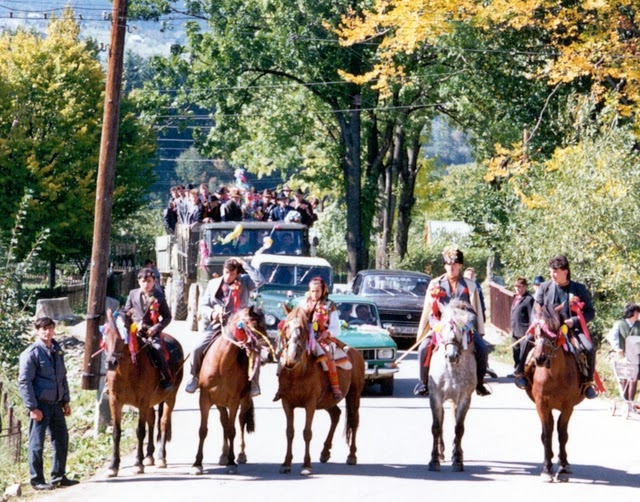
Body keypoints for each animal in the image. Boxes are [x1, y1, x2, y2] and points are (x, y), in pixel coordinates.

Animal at [101, 308, 184, 476]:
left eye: (124, 334)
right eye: (106, 332)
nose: (111, 362)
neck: (126, 372)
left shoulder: (143, 402)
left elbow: (140, 431)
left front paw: (138, 463)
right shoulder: (115, 401)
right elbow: (116, 432)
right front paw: (113, 465)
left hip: (170, 396)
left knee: (163, 422)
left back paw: (160, 457)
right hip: (152, 402)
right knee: (152, 421)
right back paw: (150, 455)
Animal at [191, 306, 268, 474]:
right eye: (253, 326)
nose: (267, 354)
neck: (221, 362)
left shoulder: (234, 401)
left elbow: (232, 431)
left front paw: (232, 463)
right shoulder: (204, 399)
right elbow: (203, 430)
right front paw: (197, 463)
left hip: (244, 401)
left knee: (240, 422)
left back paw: (240, 455)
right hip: (220, 403)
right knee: (224, 423)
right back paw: (223, 455)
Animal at [276, 306, 364, 474]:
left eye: (304, 330)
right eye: (285, 327)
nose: (291, 358)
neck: (297, 374)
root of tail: (356, 353)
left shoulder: (310, 404)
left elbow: (307, 432)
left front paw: (306, 465)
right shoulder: (287, 403)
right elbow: (289, 432)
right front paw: (286, 463)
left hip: (354, 395)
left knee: (354, 421)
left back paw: (352, 456)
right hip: (327, 401)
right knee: (336, 414)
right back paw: (325, 452)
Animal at [524, 306, 584, 482]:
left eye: (554, 331)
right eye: (538, 332)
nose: (540, 358)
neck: (554, 375)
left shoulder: (568, 406)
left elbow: (562, 434)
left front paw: (562, 468)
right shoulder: (541, 404)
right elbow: (546, 434)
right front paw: (546, 468)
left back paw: (563, 462)